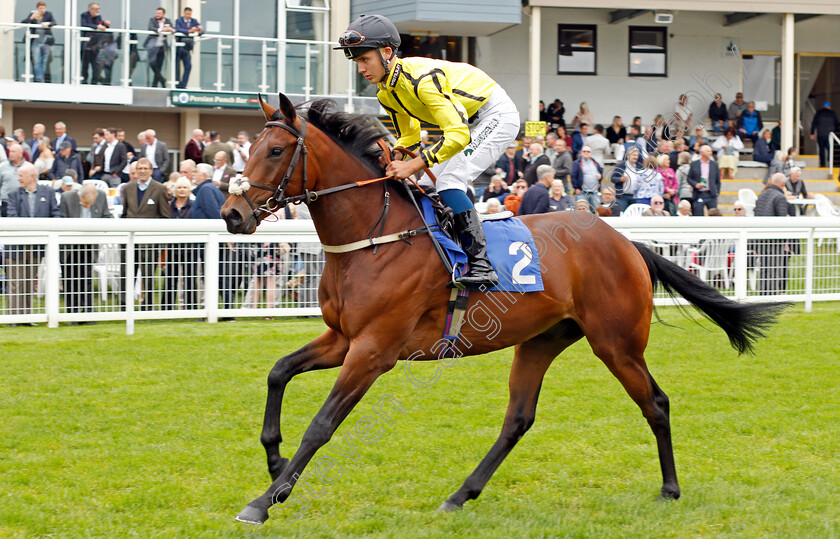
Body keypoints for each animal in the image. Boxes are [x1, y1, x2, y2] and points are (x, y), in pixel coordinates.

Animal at [220, 93, 784, 524]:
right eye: (249, 150)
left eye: (275, 150)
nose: (231, 214)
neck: (374, 238)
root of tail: (623, 241)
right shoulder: (342, 339)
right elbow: (278, 372)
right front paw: (275, 463)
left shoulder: (374, 350)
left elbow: (321, 424)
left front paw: (264, 501)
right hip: (541, 341)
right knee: (518, 419)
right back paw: (459, 495)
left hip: (617, 342)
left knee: (656, 402)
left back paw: (669, 489)